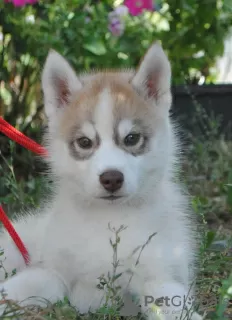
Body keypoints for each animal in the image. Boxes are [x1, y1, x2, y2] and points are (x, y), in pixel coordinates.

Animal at [0, 43, 201, 320]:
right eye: (85, 142)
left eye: (131, 138)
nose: (111, 178)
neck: (109, 218)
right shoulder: (52, 272)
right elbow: (21, 286)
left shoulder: (160, 276)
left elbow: (171, 302)